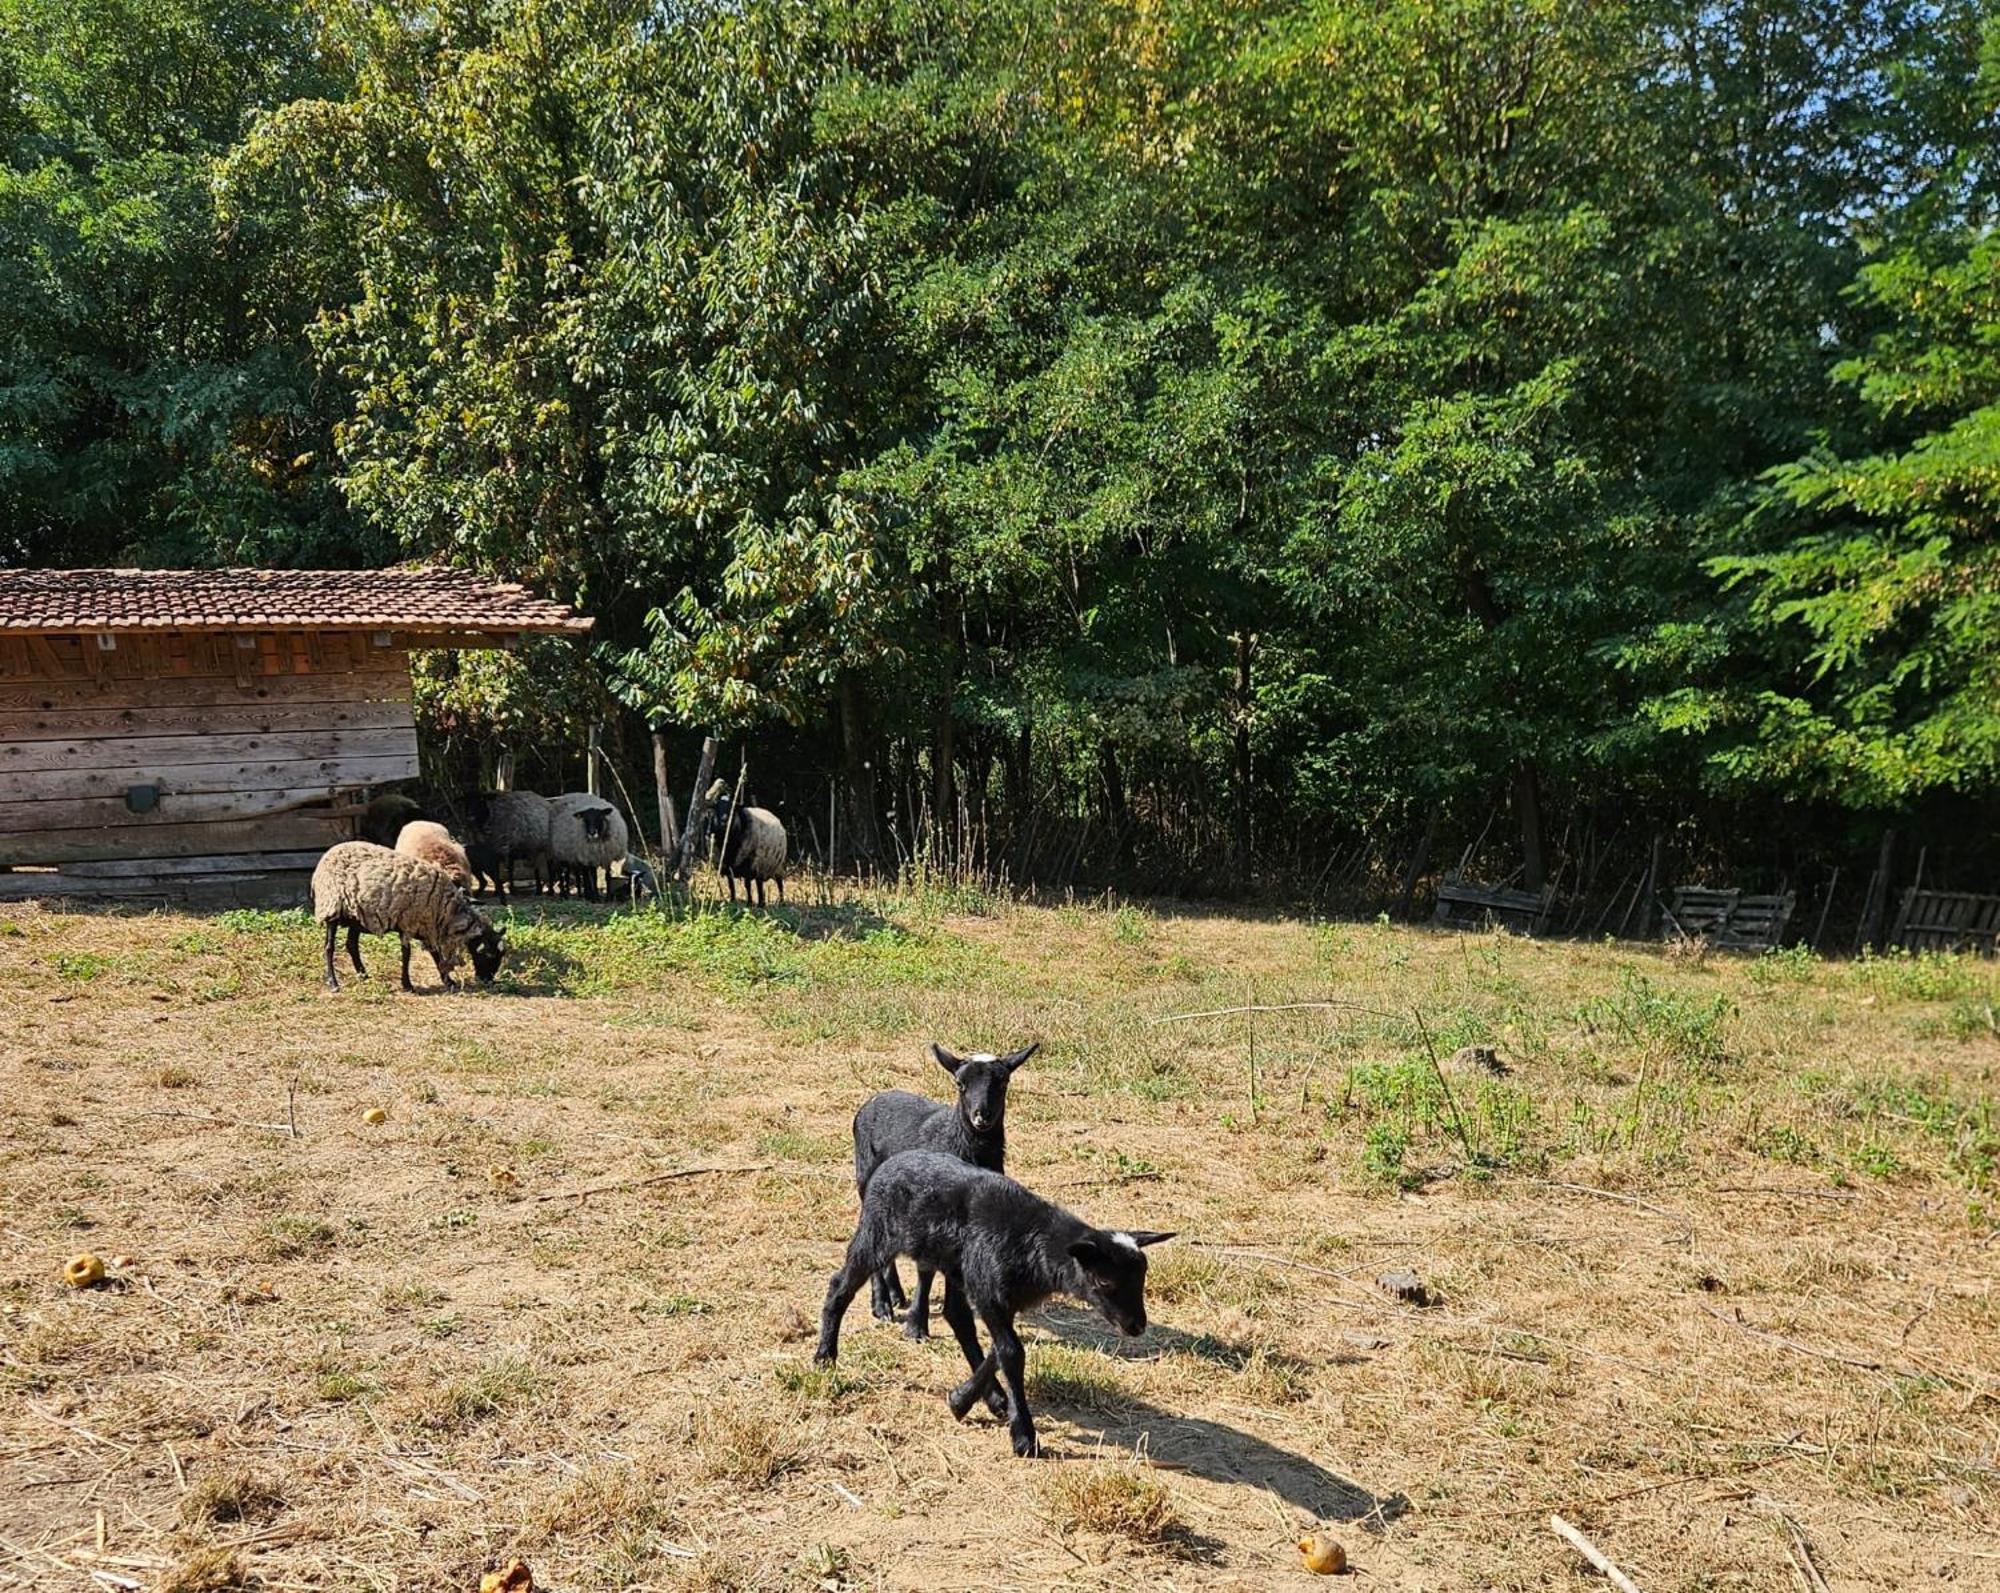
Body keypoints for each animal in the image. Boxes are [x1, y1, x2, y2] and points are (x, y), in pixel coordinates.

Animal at [310, 840, 508, 988]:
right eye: (489, 955)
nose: (488, 981)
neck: (447, 910)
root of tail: (325, 857)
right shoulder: (409, 923)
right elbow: (408, 954)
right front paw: (408, 984)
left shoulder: (426, 925)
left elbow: (434, 953)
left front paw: (448, 980)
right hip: (332, 906)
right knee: (329, 947)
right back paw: (333, 982)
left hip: (357, 915)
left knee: (351, 945)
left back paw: (363, 975)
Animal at [808, 1152, 1168, 1464]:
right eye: (1105, 1281)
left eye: (1142, 1277)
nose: (1137, 1325)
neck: (1032, 1243)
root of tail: (892, 1162)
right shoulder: (990, 1292)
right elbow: (1011, 1352)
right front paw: (1024, 1437)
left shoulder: (1005, 1299)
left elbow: (999, 1350)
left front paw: (962, 1400)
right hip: (877, 1234)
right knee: (840, 1286)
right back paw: (825, 1355)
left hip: (950, 1263)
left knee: (957, 1316)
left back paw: (990, 1398)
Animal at [848, 1040, 1040, 1336]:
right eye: (960, 1084)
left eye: (1003, 1082)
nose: (981, 1116)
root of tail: (873, 1100)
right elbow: (926, 1270)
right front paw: (917, 1326)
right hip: (866, 1179)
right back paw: (881, 1304)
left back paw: (896, 1294)